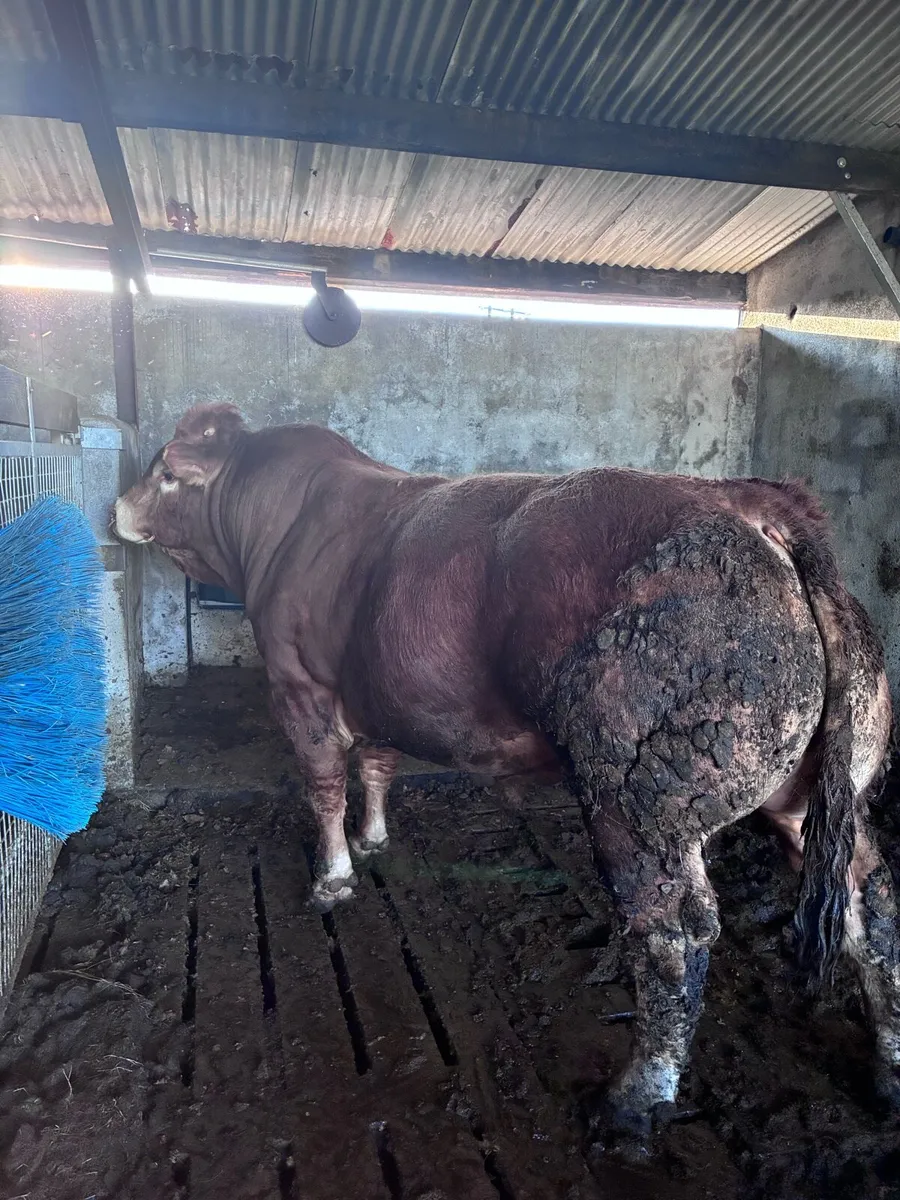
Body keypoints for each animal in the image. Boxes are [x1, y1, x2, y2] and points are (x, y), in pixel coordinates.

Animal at [113, 402, 898, 1158]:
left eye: (169, 475)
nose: (117, 506)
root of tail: (748, 500)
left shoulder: (299, 685)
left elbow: (324, 784)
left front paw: (333, 877)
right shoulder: (377, 695)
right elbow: (376, 764)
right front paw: (373, 840)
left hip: (639, 801)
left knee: (673, 933)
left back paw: (632, 1104)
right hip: (819, 794)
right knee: (873, 902)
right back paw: (888, 1071)